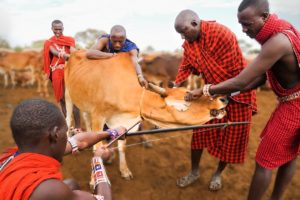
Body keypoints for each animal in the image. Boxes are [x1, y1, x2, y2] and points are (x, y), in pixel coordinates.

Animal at [63, 50, 227, 180]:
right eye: (187, 100)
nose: (223, 99)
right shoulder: (98, 116)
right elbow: (98, 150)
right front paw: (93, 180)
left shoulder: (123, 122)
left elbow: (122, 147)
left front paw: (124, 170)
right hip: (68, 94)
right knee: (68, 118)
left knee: (85, 118)